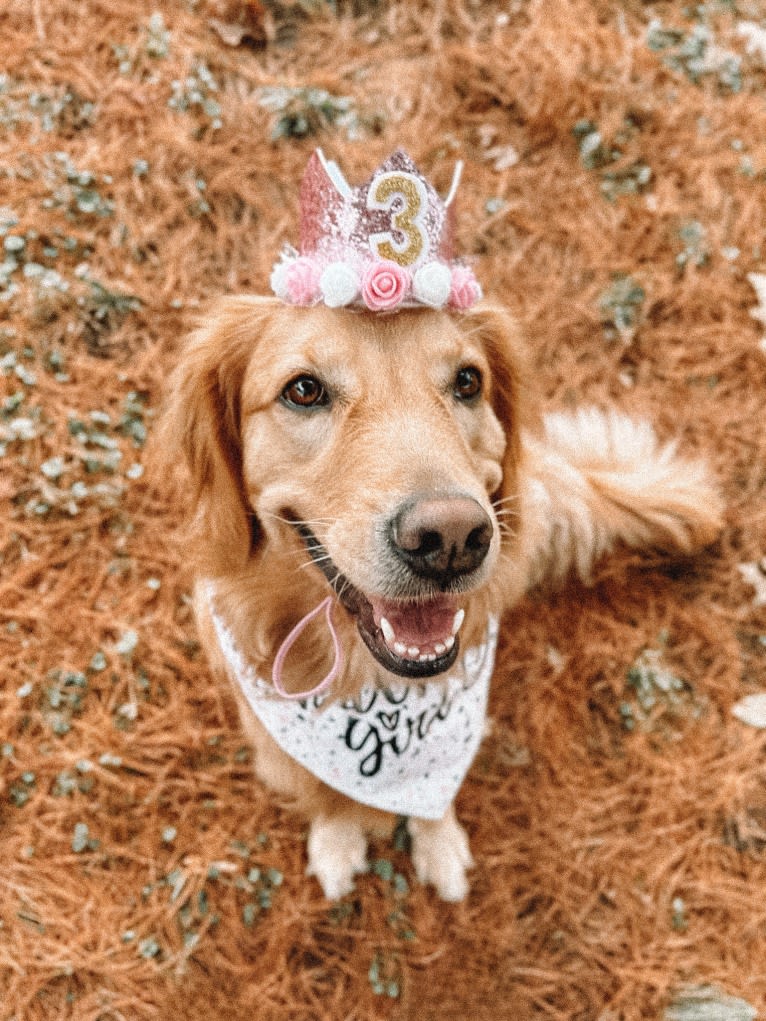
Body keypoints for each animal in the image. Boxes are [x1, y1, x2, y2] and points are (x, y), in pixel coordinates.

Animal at [163, 296, 727, 902]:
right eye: (304, 390)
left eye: (467, 382)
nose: (452, 539)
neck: (371, 686)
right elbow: (323, 795)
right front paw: (336, 841)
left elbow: (436, 795)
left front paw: (440, 843)